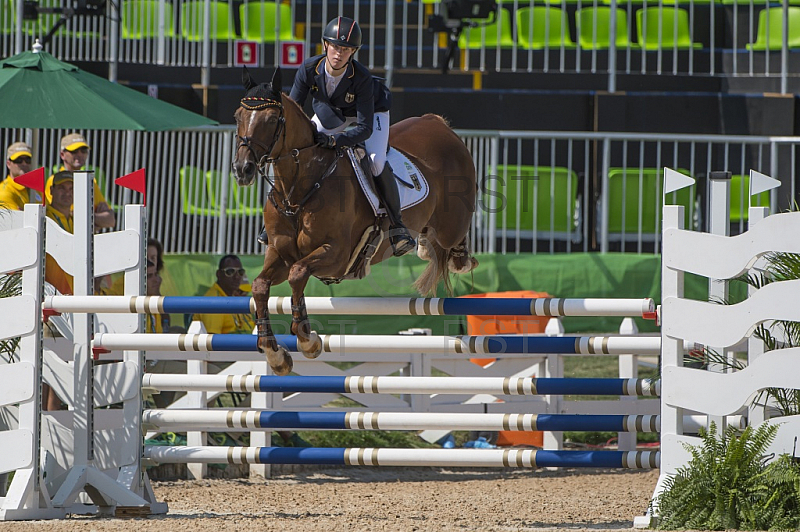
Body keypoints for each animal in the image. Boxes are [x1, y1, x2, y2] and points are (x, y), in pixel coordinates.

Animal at [234, 66, 478, 374]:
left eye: (270, 119)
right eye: (237, 117)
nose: (242, 169)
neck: (300, 189)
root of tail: (438, 124)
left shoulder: (337, 254)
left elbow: (298, 274)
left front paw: (307, 339)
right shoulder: (280, 252)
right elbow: (260, 286)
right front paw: (274, 353)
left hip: (451, 225)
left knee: (453, 243)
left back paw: (452, 256)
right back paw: (422, 245)